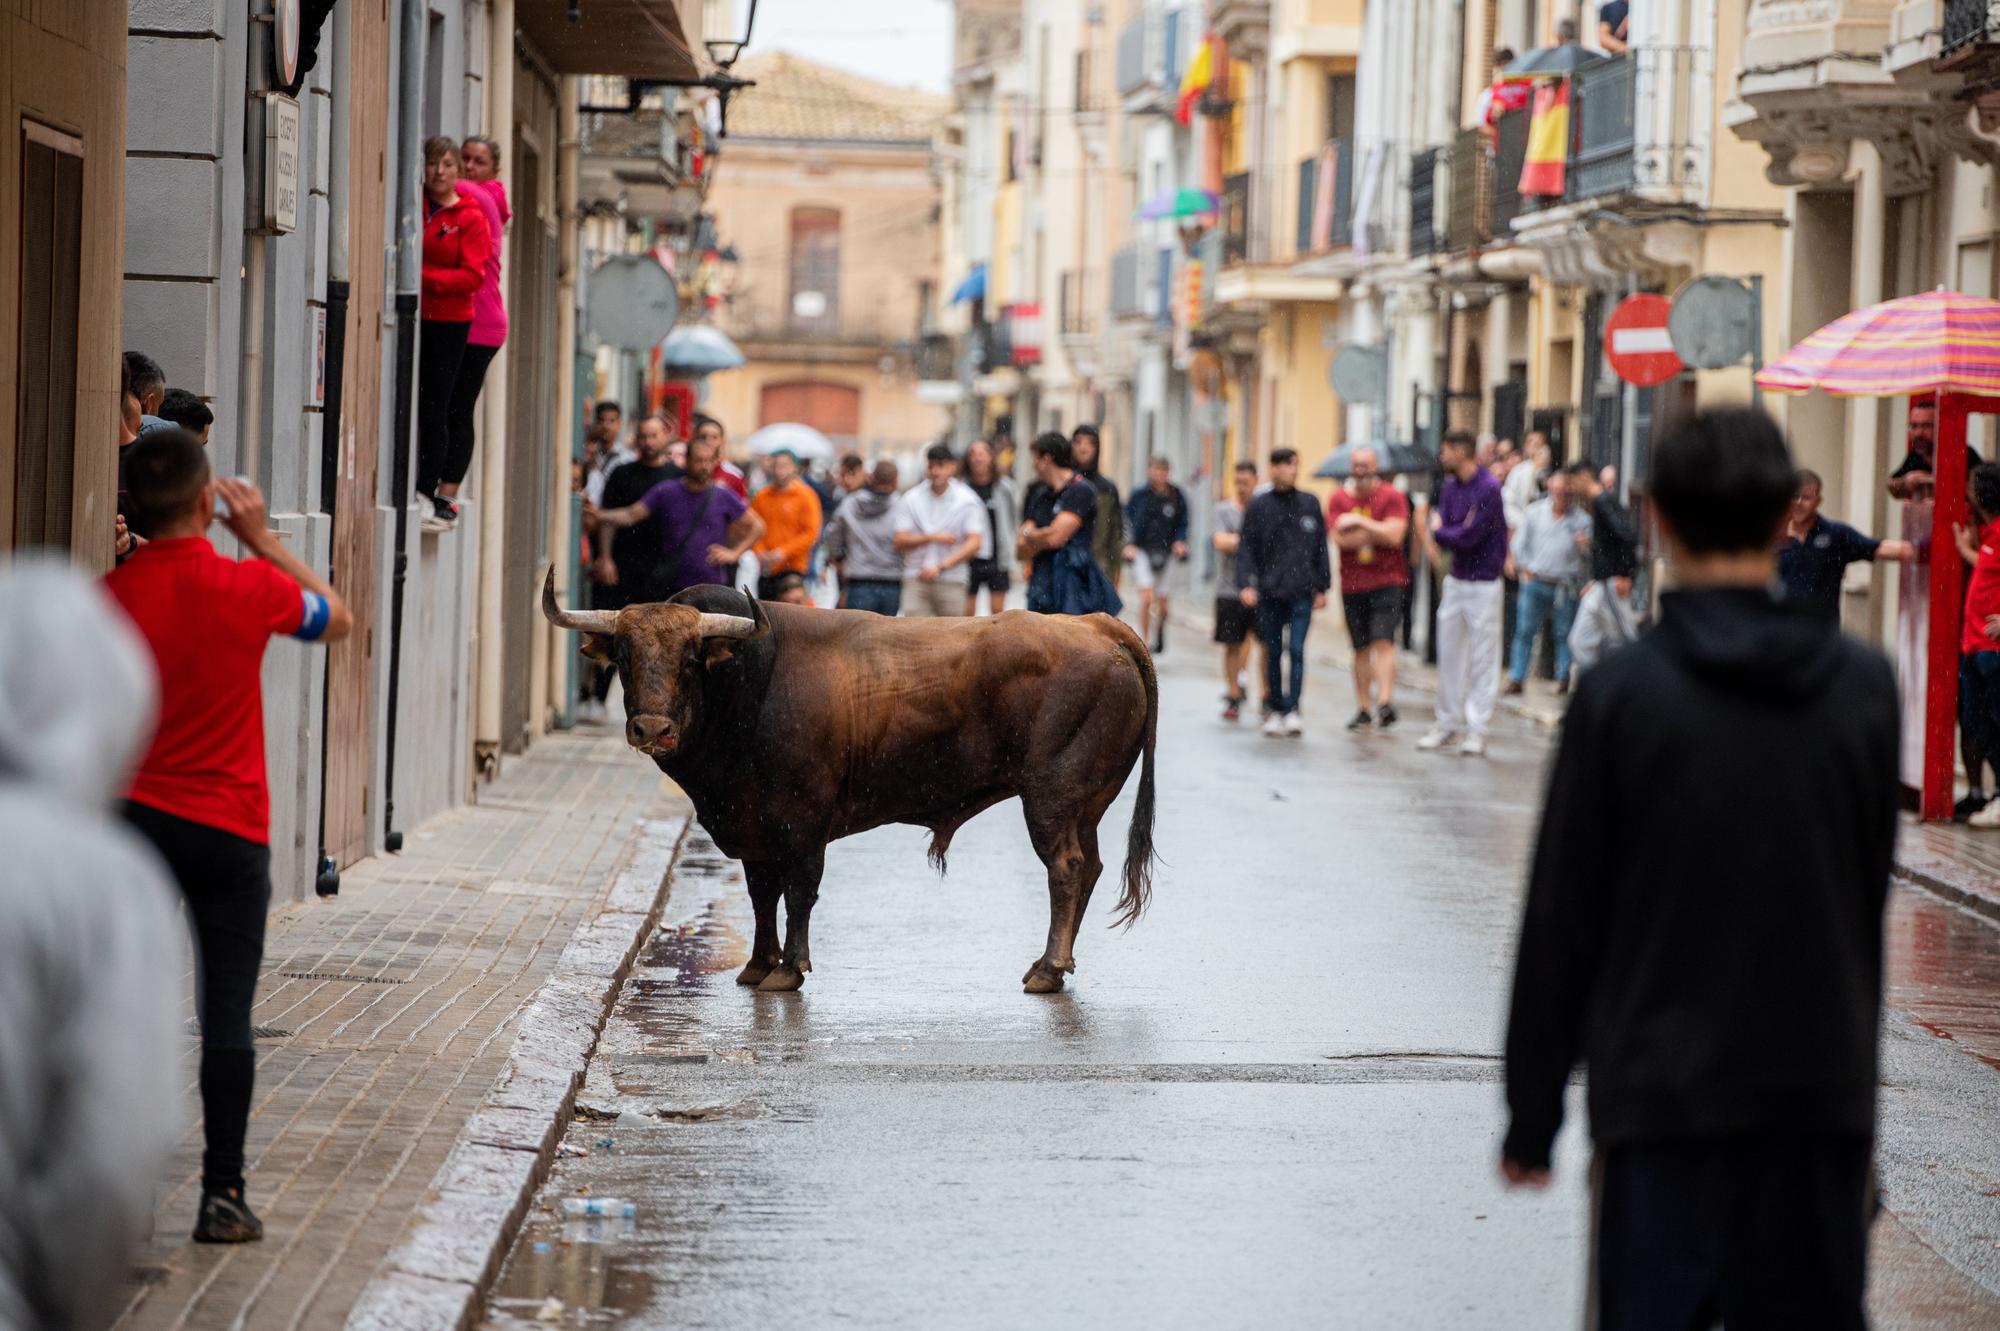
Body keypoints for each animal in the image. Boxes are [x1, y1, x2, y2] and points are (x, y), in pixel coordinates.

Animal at [540, 563, 1160, 991]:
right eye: (623, 654)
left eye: (691, 658)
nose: (652, 728)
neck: (754, 681)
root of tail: (1098, 627)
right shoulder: (753, 828)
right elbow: (761, 893)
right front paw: (757, 964)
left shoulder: (801, 823)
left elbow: (798, 893)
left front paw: (789, 969)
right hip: (1087, 805)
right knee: (1091, 868)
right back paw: (1057, 963)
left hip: (1052, 799)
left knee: (1066, 869)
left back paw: (1048, 969)